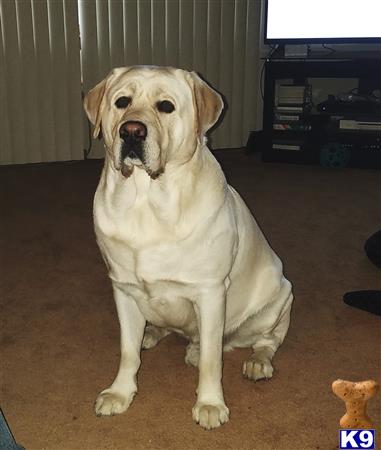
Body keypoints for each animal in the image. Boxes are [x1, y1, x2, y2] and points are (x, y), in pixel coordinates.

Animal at [83, 66, 292, 428]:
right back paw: (152, 334)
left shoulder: (210, 292)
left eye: (166, 106)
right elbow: (127, 351)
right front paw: (120, 393)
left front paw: (210, 404)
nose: (132, 131)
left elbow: (211, 360)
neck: (145, 200)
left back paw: (257, 362)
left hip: (278, 295)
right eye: (122, 102)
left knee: (264, 340)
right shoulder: (123, 289)